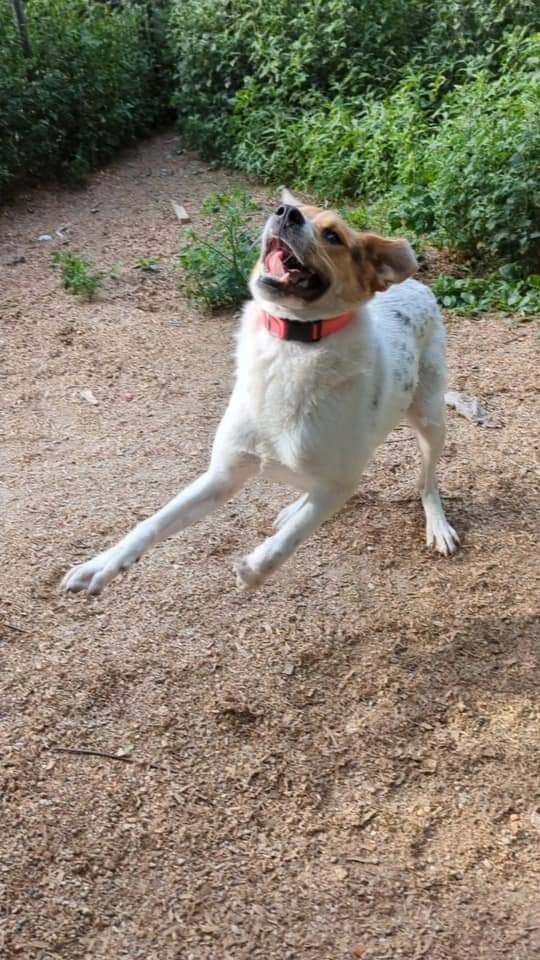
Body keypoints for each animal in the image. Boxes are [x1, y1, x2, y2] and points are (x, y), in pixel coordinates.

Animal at [63, 188, 460, 596]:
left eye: (333, 236)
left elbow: (287, 542)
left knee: (427, 481)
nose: (286, 212)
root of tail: (414, 284)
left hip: (432, 420)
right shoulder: (224, 474)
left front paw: (253, 568)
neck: (294, 346)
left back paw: (437, 524)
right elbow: (153, 522)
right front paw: (100, 566)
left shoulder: (341, 483)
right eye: (292, 209)